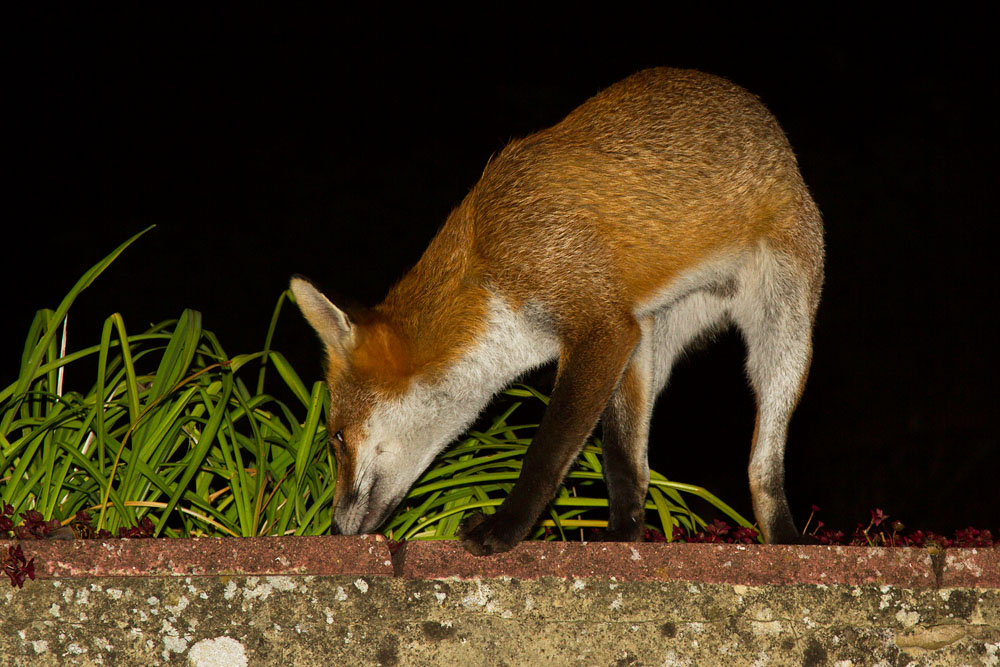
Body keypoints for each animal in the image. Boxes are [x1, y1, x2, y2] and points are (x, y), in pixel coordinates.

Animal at [291, 67, 824, 555]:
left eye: (337, 438)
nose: (335, 529)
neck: (490, 265)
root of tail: (766, 123)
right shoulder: (625, 334)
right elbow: (618, 461)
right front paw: (618, 539)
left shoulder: (601, 329)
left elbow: (545, 455)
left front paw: (503, 530)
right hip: (655, 341)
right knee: (636, 458)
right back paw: (631, 533)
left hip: (784, 333)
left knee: (762, 467)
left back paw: (787, 540)